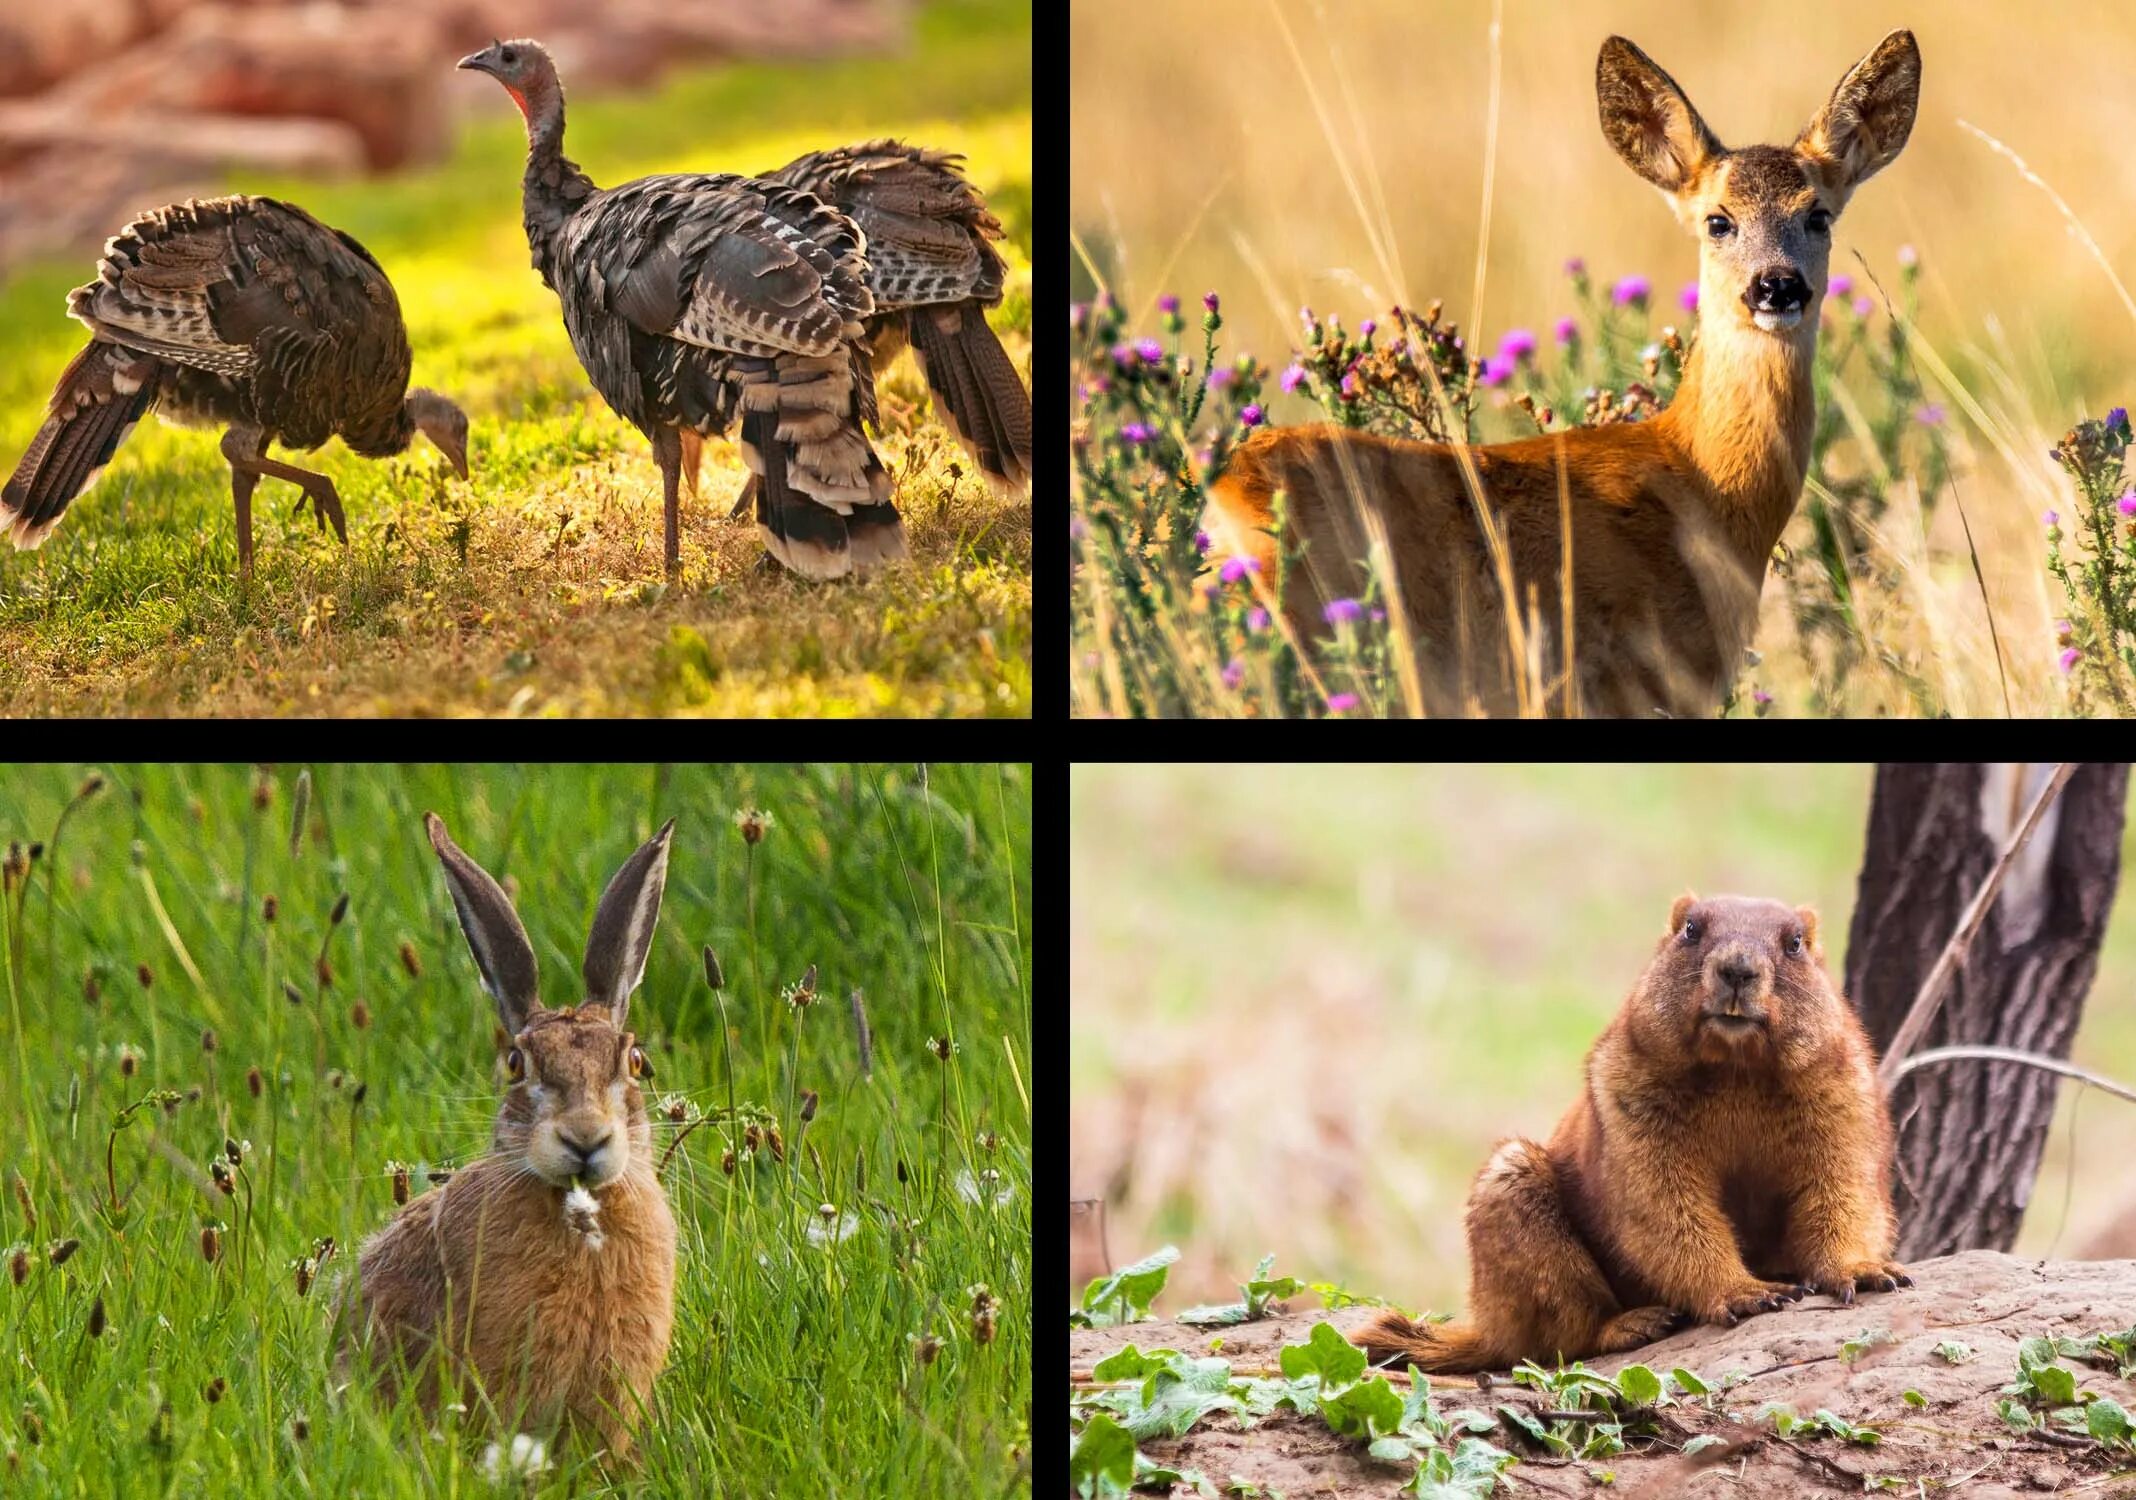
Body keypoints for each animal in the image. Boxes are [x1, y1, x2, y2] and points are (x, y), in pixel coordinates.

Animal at [1204, 29, 1922, 717]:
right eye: (1718, 221)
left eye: (1818, 214)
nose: (1777, 286)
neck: (1702, 483)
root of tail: (1222, 496)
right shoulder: (1631, 681)